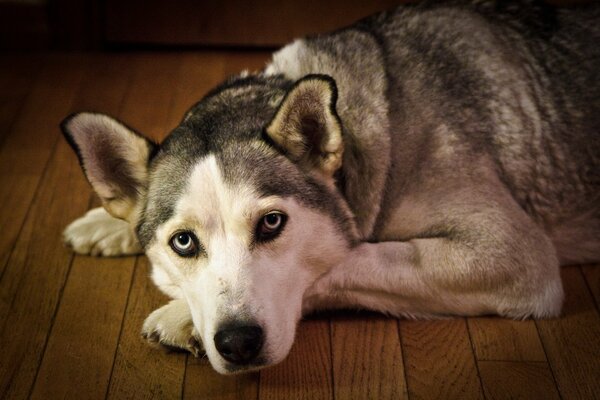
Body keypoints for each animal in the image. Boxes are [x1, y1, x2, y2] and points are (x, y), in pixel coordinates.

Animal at [58, 0, 596, 376]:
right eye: (183, 242)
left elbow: (349, 259)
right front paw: (106, 223)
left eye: (272, 223)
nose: (237, 343)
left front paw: (180, 317)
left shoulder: (512, 253)